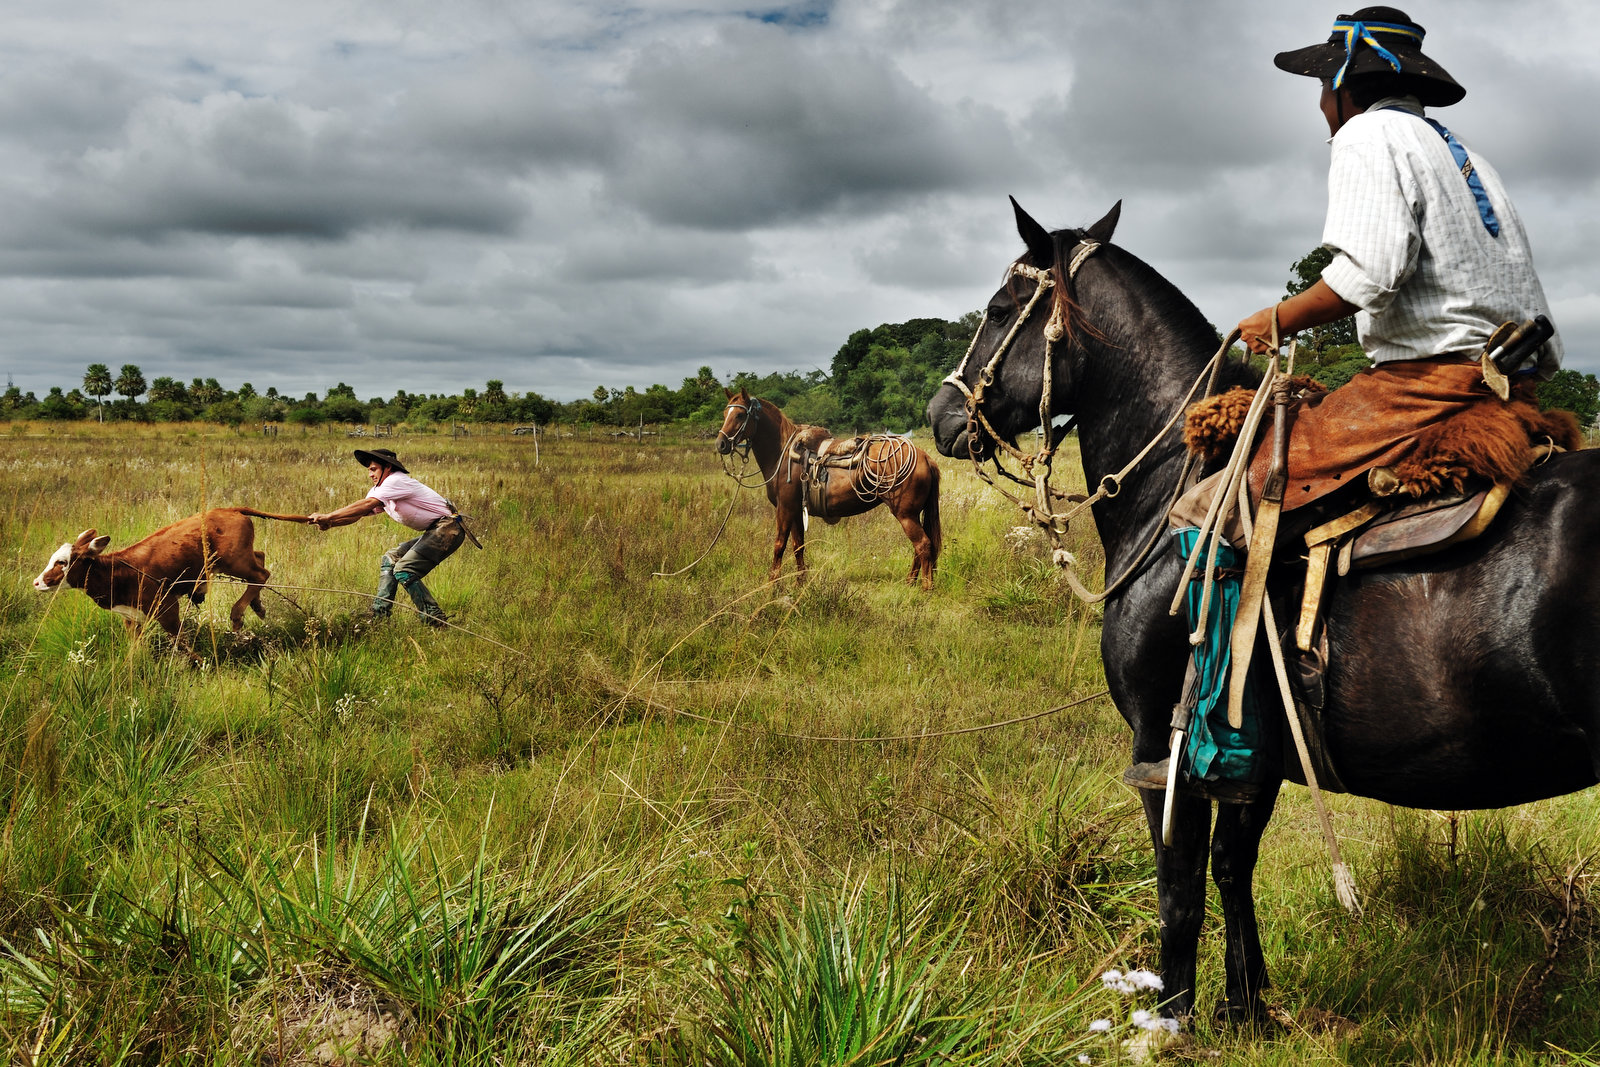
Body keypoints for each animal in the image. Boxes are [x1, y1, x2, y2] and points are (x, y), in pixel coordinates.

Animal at [35, 508, 312, 639]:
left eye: (61, 562)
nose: (37, 582)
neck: (119, 571)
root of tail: (231, 509)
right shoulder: (131, 619)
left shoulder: (167, 609)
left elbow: (183, 642)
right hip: (238, 559)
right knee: (261, 558)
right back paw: (257, 606)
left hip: (234, 562)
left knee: (262, 574)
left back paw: (237, 614)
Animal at [713, 391, 934, 588]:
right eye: (725, 414)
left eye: (740, 415)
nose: (721, 444)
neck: (783, 455)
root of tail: (925, 457)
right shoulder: (796, 511)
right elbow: (798, 546)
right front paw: (800, 582)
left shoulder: (784, 509)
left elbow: (779, 545)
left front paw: (771, 584)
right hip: (914, 515)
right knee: (921, 546)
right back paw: (910, 582)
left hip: (905, 515)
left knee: (923, 544)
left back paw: (926, 587)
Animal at [928, 195, 1600, 1023]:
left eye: (998, 310)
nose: (940, 415)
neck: (1175, 488)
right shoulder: (1254, 752)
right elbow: (1232, 865)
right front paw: (1245, 1005)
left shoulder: (1163, 746)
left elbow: (1179, 890)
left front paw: (1172, 1017)